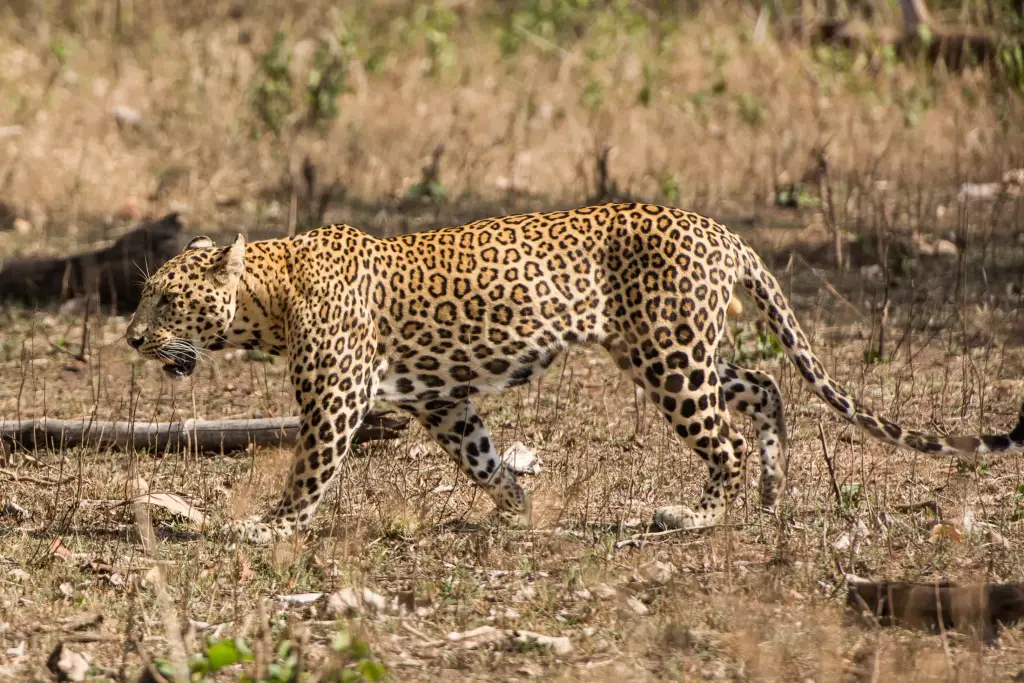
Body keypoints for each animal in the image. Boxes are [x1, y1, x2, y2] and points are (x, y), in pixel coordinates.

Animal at [125, 202, 1024, 544]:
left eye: (165, 297)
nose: (131, 338)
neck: (268, 297)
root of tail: (722, 230)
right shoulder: (443, 400)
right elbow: (481, 457)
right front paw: (519, 511)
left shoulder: (337, 398)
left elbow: (309, 471)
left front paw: (267, 527)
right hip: (679, 350)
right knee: (763, 388)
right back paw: (773, 491)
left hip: (669, 358)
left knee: (724, 439)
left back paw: (693, 514)